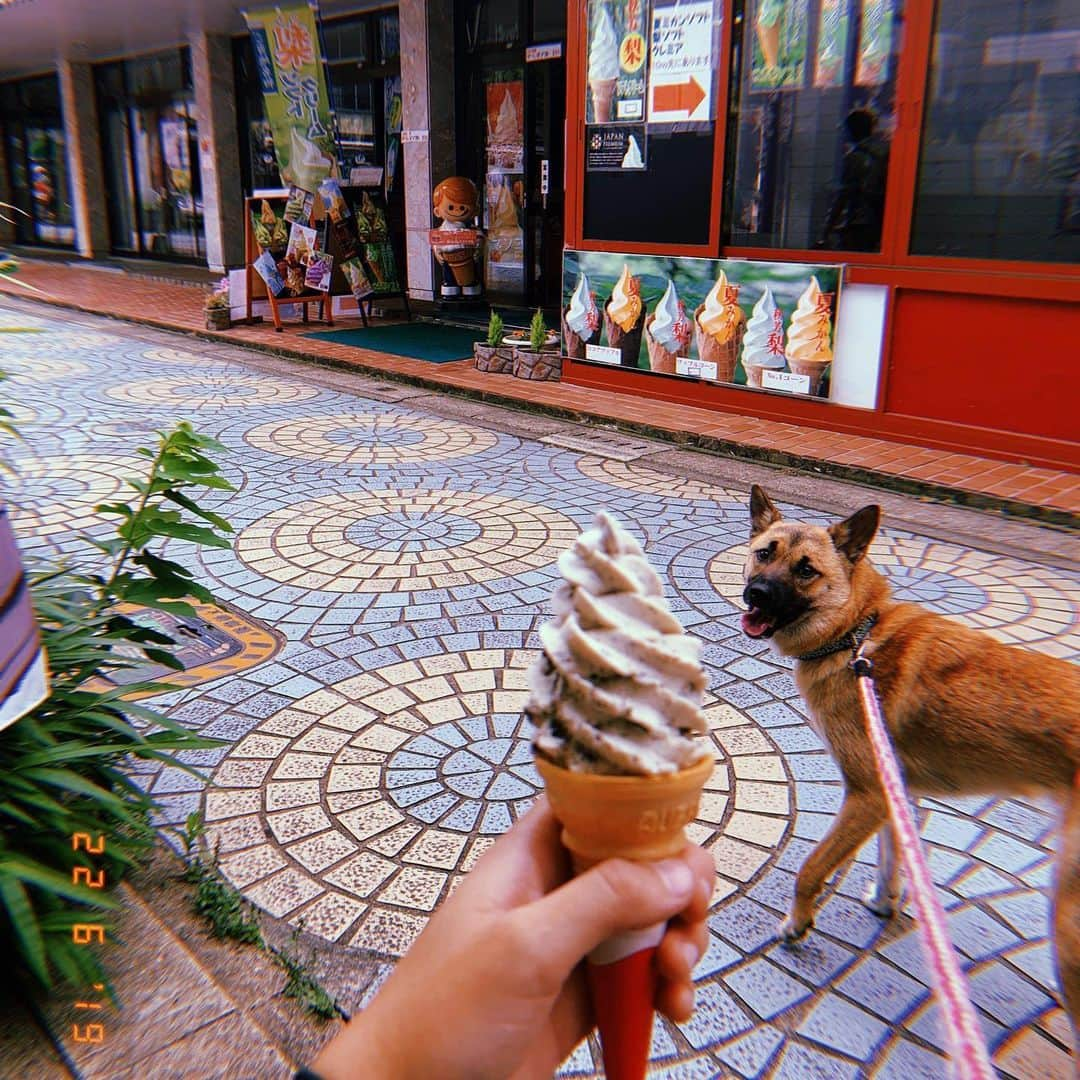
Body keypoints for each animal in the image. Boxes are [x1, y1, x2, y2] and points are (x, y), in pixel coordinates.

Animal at [743, 488, 1080, 1036]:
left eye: (806, 570)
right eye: (764, 553)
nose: (755, 595)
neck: (857, 633)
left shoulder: (866, 795)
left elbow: (811, 870)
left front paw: (796, 924)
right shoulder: (892, 799)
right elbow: (891, 859)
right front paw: (885, 903)